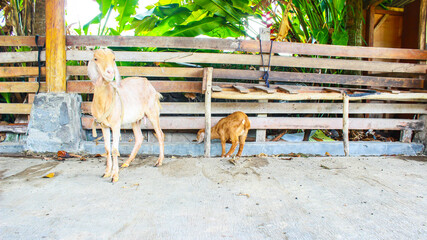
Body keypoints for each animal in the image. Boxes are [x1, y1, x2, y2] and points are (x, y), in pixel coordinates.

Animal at [88, 48, 165, 182]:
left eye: (114, 59)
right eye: (96, 58)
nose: (110, 72)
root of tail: (149, 84)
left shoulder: (116, 124)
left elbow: (114, 150)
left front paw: (114, 176)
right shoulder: (104, 125)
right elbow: (107, 149)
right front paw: (106, 173)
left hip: (152, 112)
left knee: (160, 134)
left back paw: (159, 162)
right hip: (136, 119)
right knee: (139, 138)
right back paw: (126, 163)